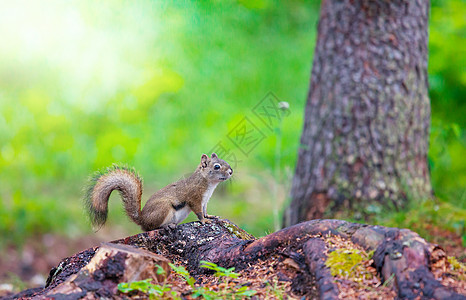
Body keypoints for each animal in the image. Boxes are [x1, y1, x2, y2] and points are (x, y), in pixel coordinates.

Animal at [83, 154, 233, 231]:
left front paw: (210, 216)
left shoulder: (205, 201)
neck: (208, 183)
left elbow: (205, 210)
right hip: (163, 208)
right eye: (217, 166)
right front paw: (204, 221)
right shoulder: (194, 198)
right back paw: (168, 225)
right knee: (152, 228)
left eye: (224, 161)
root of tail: (142, 219)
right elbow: (199, 212)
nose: (231, 172)